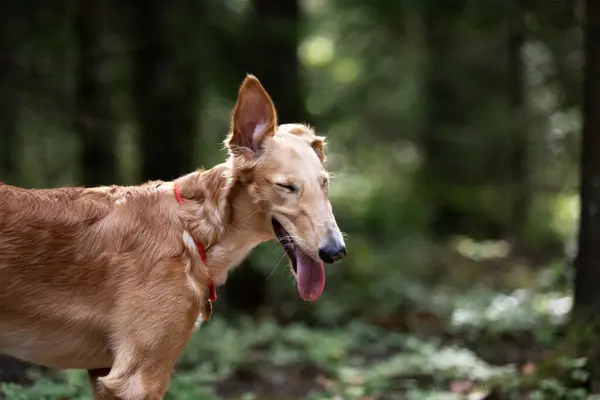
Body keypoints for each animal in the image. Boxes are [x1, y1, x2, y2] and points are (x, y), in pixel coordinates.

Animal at [0, 76, 346, 400]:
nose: (336, 251)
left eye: (324, 183)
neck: (192, 232)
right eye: (286, 187)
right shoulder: (137, 377)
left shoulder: (103, 373)